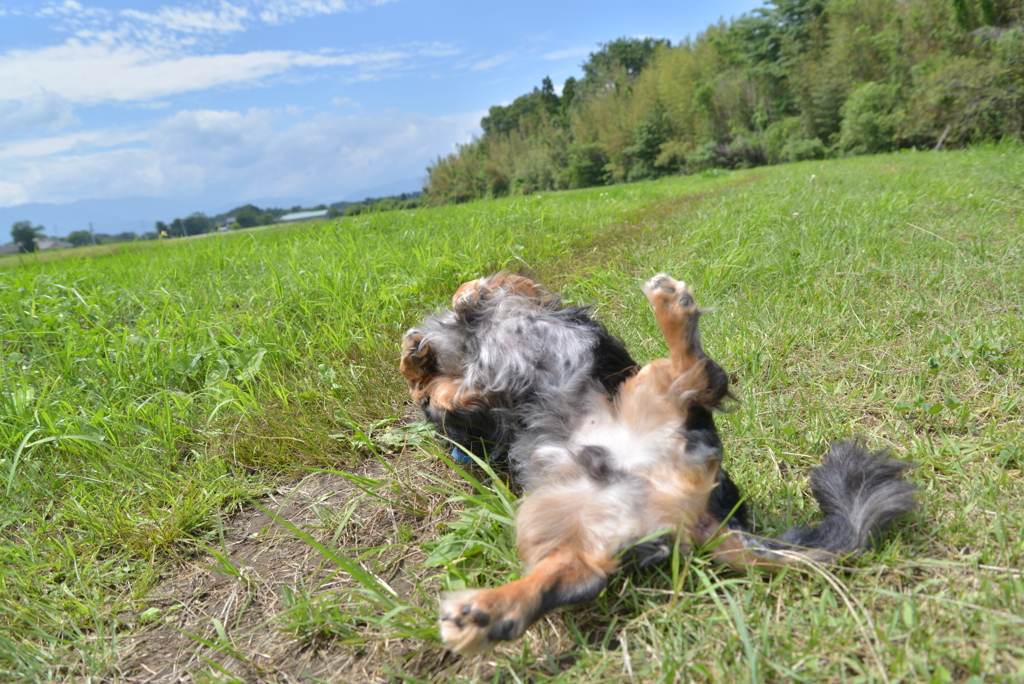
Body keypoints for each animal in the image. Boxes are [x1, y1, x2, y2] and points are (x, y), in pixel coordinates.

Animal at [395, 272, 917, 655]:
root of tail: (707, 515)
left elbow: (455, 361)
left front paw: (446, 323)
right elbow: (441, 391)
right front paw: (427, 357)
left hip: (647, 387)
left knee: (700, 375)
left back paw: (672, 308)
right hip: (560, 520)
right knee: (576, 577)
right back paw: (487, 613)